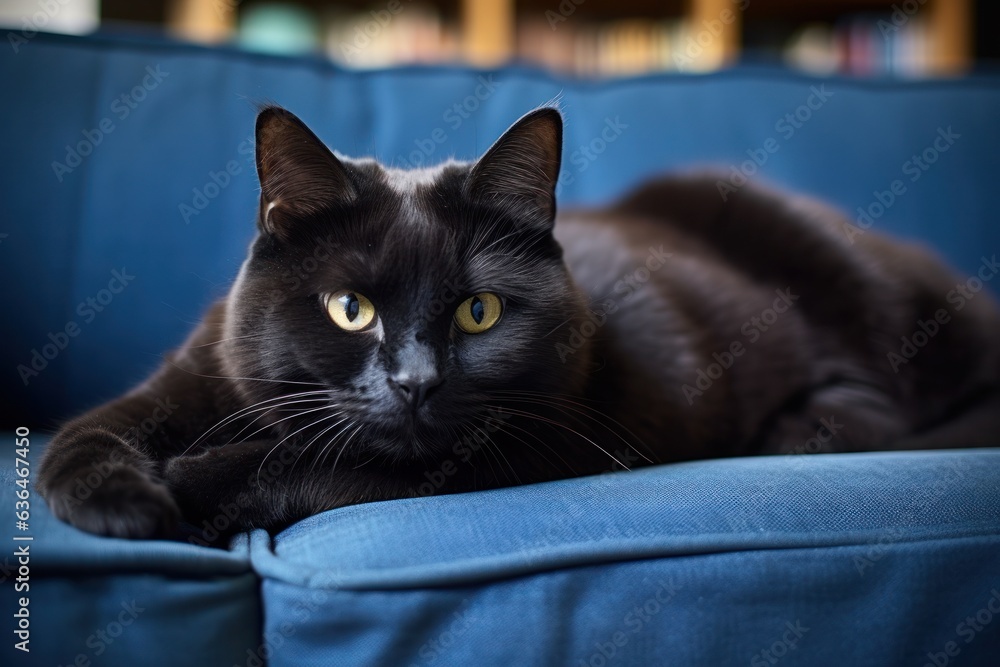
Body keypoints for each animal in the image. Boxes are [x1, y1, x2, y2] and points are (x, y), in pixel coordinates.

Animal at [37, 107, 1000, 540]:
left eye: (480, 309)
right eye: (351, 309)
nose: (416, 381)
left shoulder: (538, 444)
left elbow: (306, 461)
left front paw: (186, 486)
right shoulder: (193, 374)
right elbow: (89, 431)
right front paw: (120, 500)